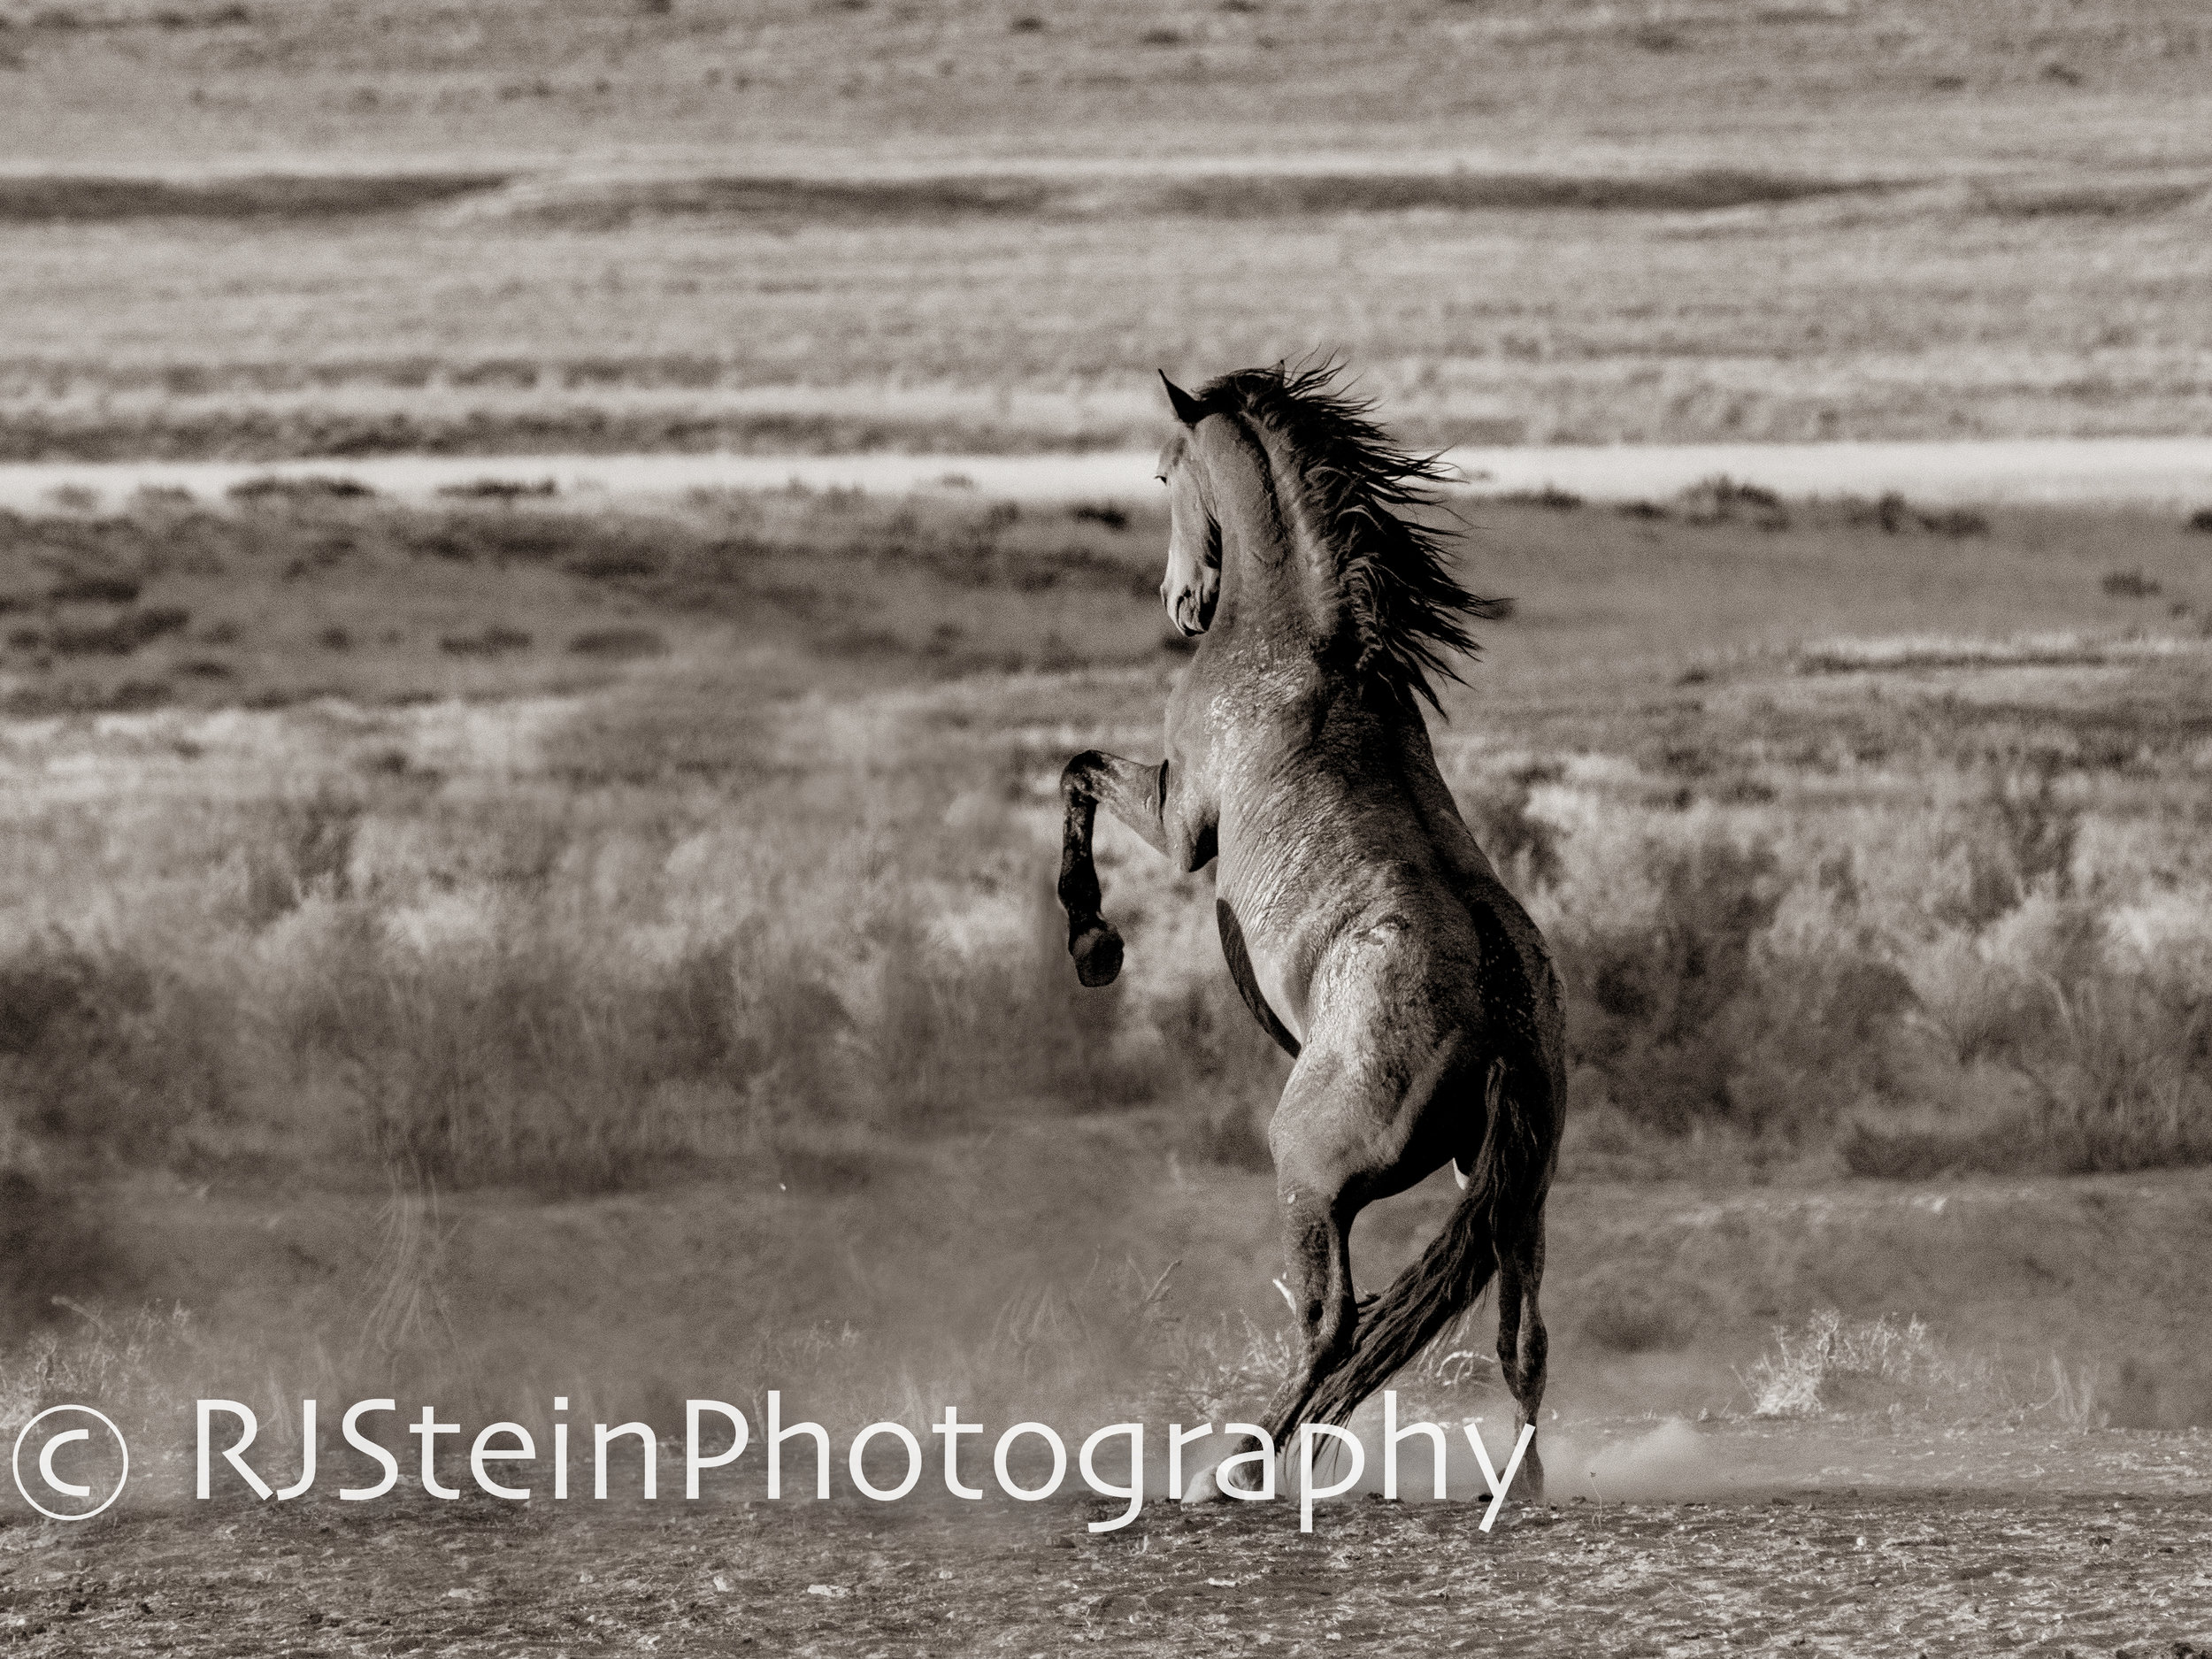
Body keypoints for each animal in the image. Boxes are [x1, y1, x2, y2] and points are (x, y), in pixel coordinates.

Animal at [1057, 369, 1566, 1504]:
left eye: (1164, 472)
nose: (1179, 602)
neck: (1298, 646)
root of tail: (1504, 1029)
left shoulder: (1181, 820)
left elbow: (1077, 773)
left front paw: (1091, 940)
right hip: (1514, 1195)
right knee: (1519, 1334)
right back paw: (1512, 1488)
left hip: (1312, 1176)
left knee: (1335, 1325)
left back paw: (1235, 1471)